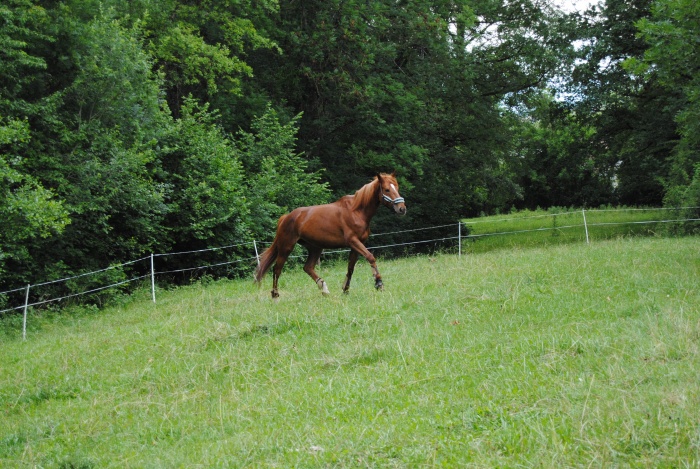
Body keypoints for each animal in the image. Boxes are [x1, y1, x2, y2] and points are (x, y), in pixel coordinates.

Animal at [254, 172, 408, 296]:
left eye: (397, 188)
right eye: (387, 189)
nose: (402, 209)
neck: (356, 211)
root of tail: (286, 217)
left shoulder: (356, 245)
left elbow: (350, 268)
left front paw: (345, 290)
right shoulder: (353, 241)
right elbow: (370, 257)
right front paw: (379, 283)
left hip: (315, 248)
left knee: (307, 267)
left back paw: (324, 288)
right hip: (286, 247)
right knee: (277, 269)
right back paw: (275, 295)